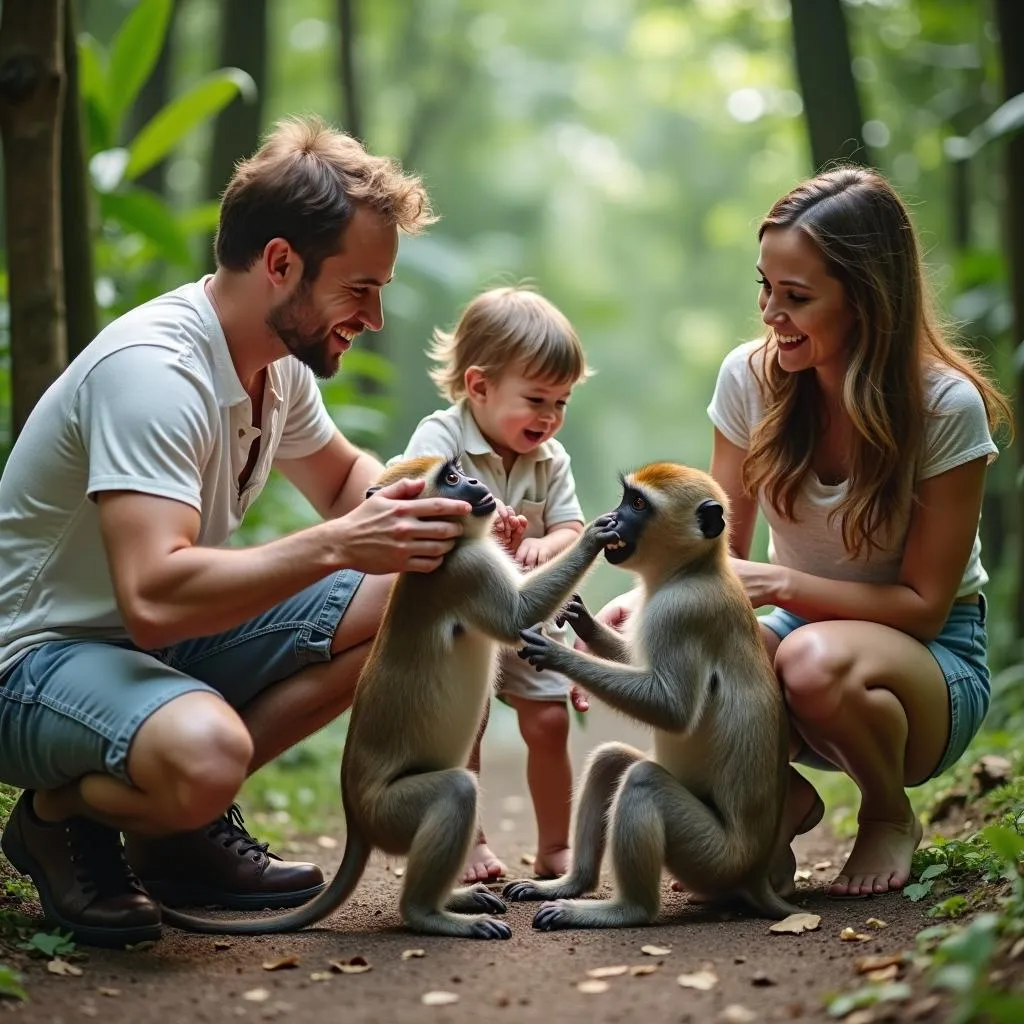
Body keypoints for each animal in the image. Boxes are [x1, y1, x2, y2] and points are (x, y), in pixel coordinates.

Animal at [155, 460, 610, 937]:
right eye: (451, 478)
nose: (474, 482)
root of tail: (357, 818)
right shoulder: (467, 569)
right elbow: (517, 617)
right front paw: (596, 534)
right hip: (391, 811)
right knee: (455, 792)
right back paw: (429, 913)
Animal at [499, 462, 802, 929]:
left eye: (638, 504)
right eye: (627, 499)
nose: (614, 516)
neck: (694, 570)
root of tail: (754, 872)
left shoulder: (681, 611)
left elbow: (671, 709)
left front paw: (557, 653)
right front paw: (582, 621)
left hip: (714, 857)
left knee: (644, 782)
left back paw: (624, 910)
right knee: (613, 762)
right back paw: (571, 884)